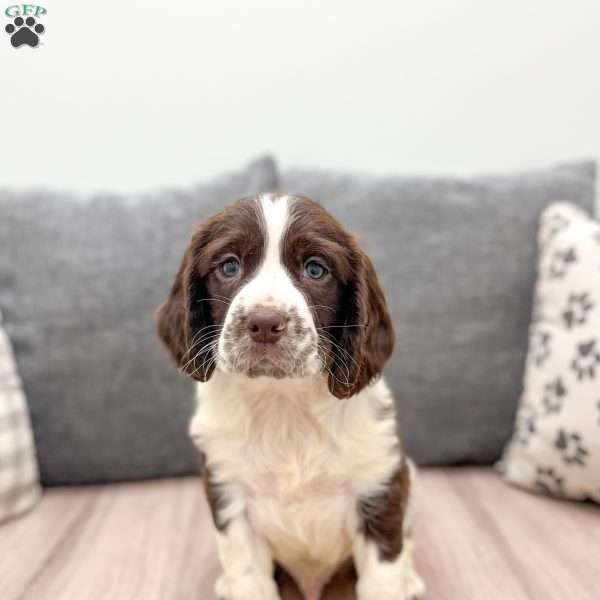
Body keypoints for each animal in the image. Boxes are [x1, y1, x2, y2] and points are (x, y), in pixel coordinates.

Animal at [157, 195, 424, 596]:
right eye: (229, 265)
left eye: (315, 269)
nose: (265, 323)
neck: (282, 401)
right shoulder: (231, 496)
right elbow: (249, 581)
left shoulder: (378, 489)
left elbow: (383, 581)